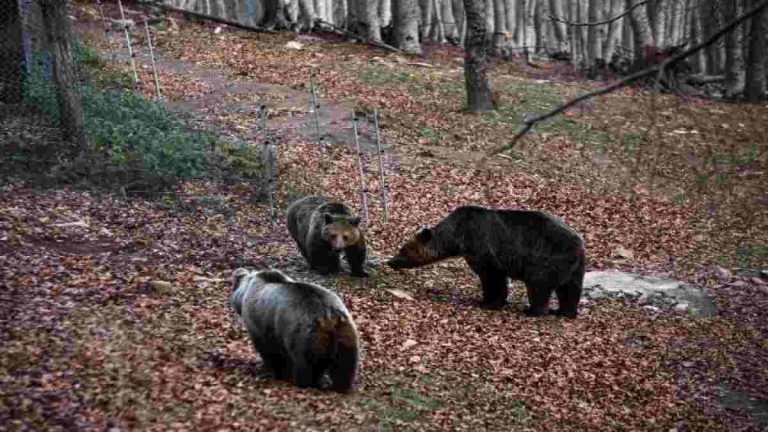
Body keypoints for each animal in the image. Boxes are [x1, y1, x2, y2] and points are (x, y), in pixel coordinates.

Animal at [228, 268, 360, 394]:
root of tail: (329, 317)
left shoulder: (261, 324)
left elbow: (269, 351)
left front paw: (274, 372)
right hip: (346, 334)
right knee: (344, 366)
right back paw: (342, 387)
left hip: (304, 336)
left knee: (305, 365)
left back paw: (305, 383)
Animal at [388, 206, 584, 318]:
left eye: (403, 250)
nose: (391, 261)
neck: (456, 237)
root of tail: (579, 243)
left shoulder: (481, 245)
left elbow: (491, 277)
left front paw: (487, 301)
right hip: (574, 267)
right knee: (570, 290)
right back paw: (564, 311)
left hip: (546, 258)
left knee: (539, 286)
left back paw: (533, 311)